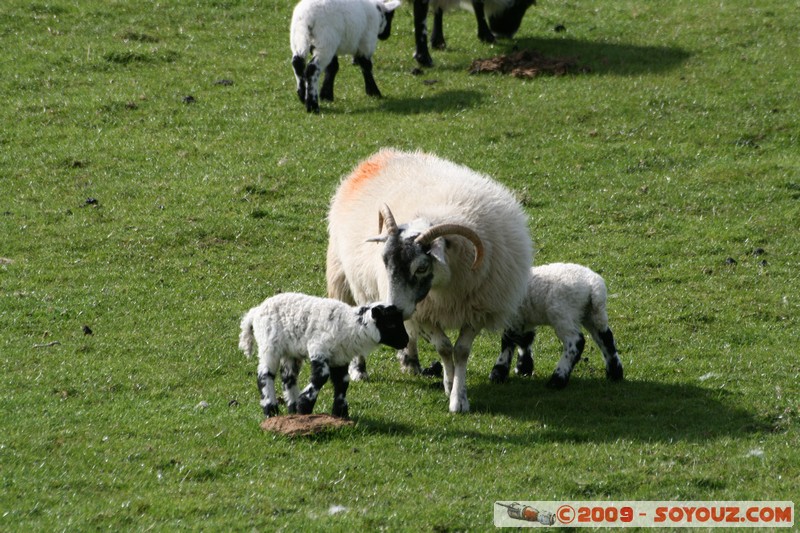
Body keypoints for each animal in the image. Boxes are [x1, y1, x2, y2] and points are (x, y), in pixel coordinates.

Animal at [238, 292, 409, 418]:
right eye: (391, 324)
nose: (406, 341)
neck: (351, 326)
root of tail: (255, 312)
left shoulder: (340, 359)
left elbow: (342, 382)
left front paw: (340, 413)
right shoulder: (318, 349)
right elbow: (321, 377)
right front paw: (305, 405)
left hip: (290, 351)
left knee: (288, 377)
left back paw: (292, 409)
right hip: (269, 345)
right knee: (264, 376)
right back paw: (272, 410)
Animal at [326, 148, 533, 413]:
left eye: (422, 267)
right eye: (384, 261)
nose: (394, 308)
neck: (446, 289)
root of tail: (381, 156)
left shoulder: (477, 309)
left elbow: (460, 351)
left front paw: (458, 397)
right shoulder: (425, 312)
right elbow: (444, 347)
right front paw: (449, 383)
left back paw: (411, 361)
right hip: (347, 279)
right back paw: (359, 369)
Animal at [489, 263, 624, 388]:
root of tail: (594, 286)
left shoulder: (514, 317)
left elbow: (508, 342)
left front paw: (497, 373)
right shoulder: (525, 317)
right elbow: (525, 340)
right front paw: (524, 368)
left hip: (563, 313)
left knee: (576, 342)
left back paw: (557, 379)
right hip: (591, 314)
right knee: (606, 338)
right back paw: (615, 374)